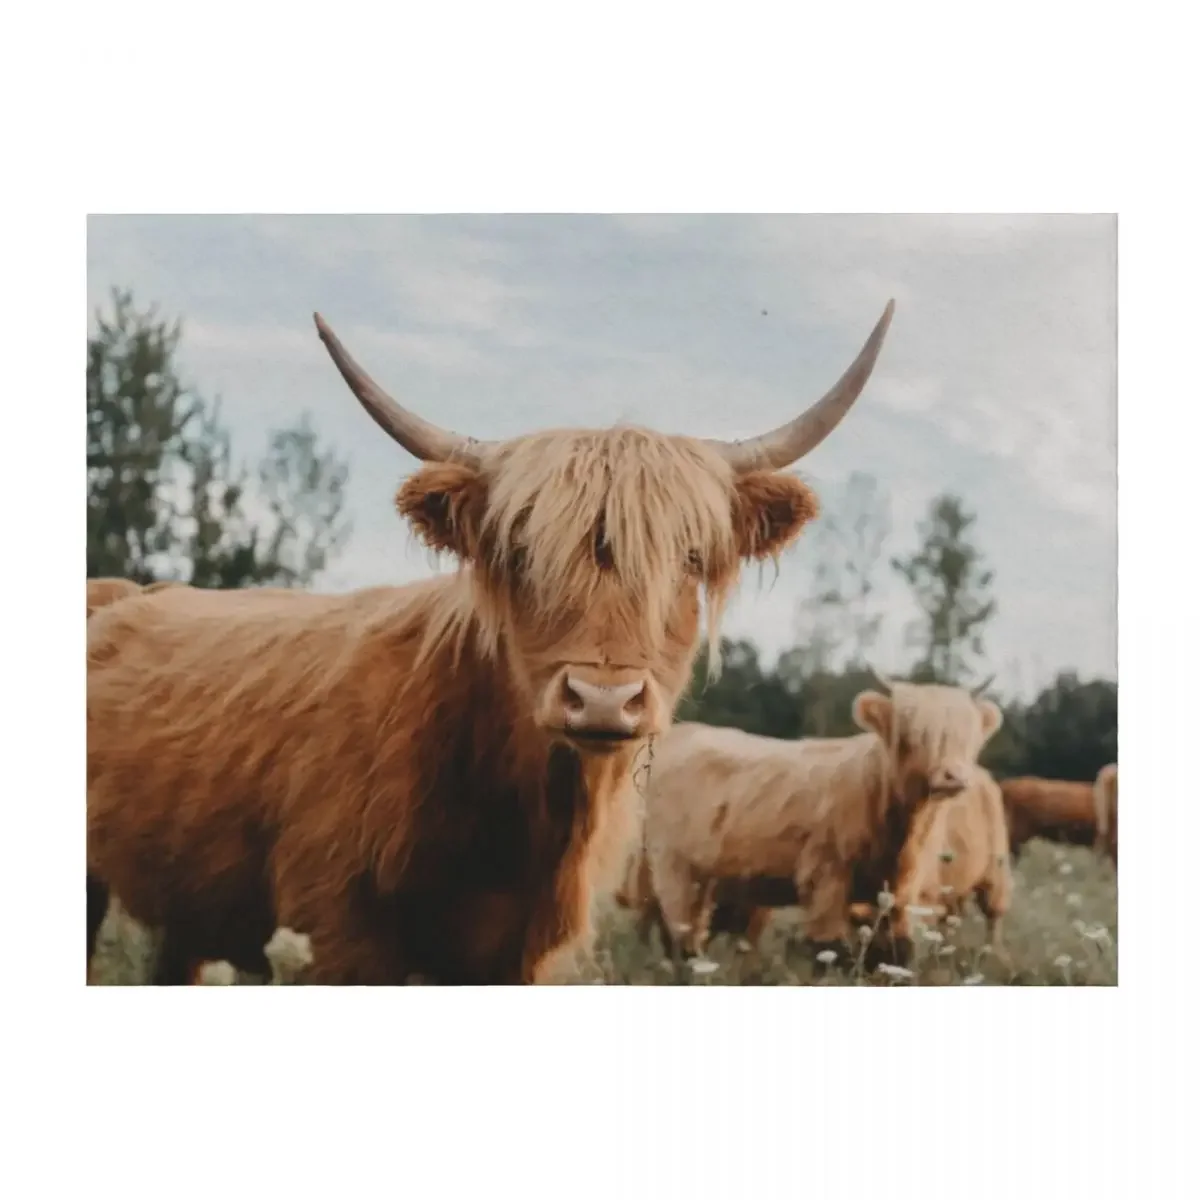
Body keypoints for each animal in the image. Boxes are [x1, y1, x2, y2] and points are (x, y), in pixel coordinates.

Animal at [640, 674, 1003, 966]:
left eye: (968, 738)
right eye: (912, 735)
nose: (953, 776)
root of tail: (681, 733)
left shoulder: (901, 894)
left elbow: (896, 952)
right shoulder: (826, 877)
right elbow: (829, 949)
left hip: (710, 880)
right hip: (673, 869)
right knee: (680, 937)